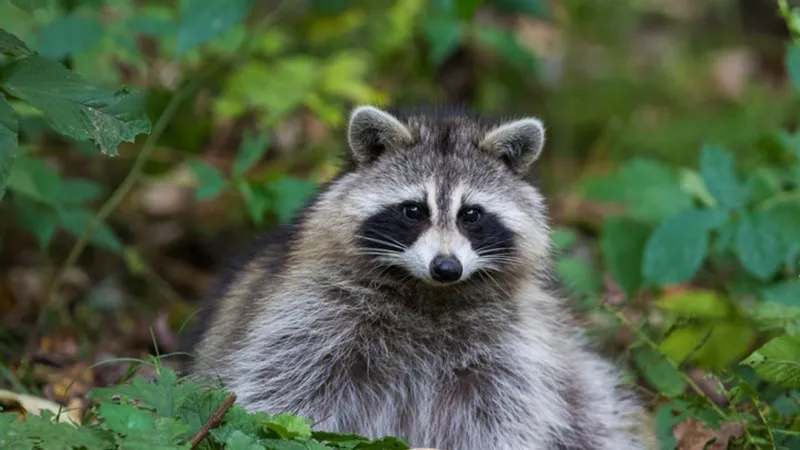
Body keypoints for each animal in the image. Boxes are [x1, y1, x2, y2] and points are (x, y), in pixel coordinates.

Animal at [184, 105, 655, 450]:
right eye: (414, 210)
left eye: (471, 215)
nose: (446, 267)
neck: (428, 293)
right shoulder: (313, 318)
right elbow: (287, 393)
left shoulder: (511, 348)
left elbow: (502, 413)